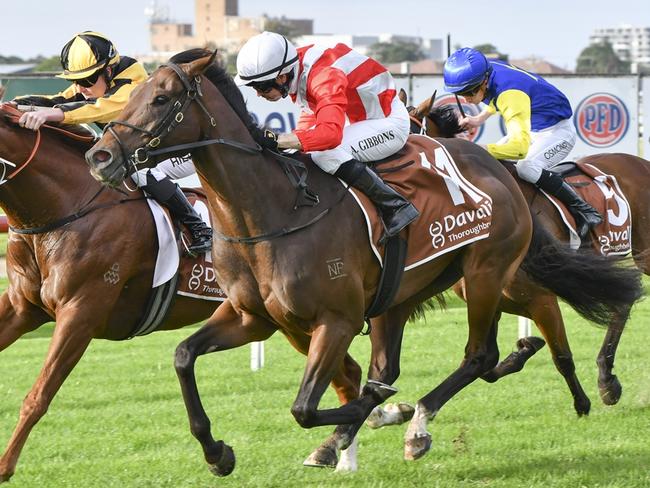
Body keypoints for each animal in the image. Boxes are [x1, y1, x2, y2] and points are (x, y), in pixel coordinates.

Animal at [0, 105, 364, 482]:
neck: (67, 207)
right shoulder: (21, 306)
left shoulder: (80, 313)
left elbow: (39, 395)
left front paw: (5, 467)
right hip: (291, 322)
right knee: (348, 376)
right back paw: (347, 448)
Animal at [404, 90, 648, 408]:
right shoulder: (495, 298)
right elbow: (488, 365)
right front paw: (525, 347)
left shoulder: (541, 298)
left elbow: (562, 357)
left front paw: (582, 404)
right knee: (622, 301)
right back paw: (607, 378)